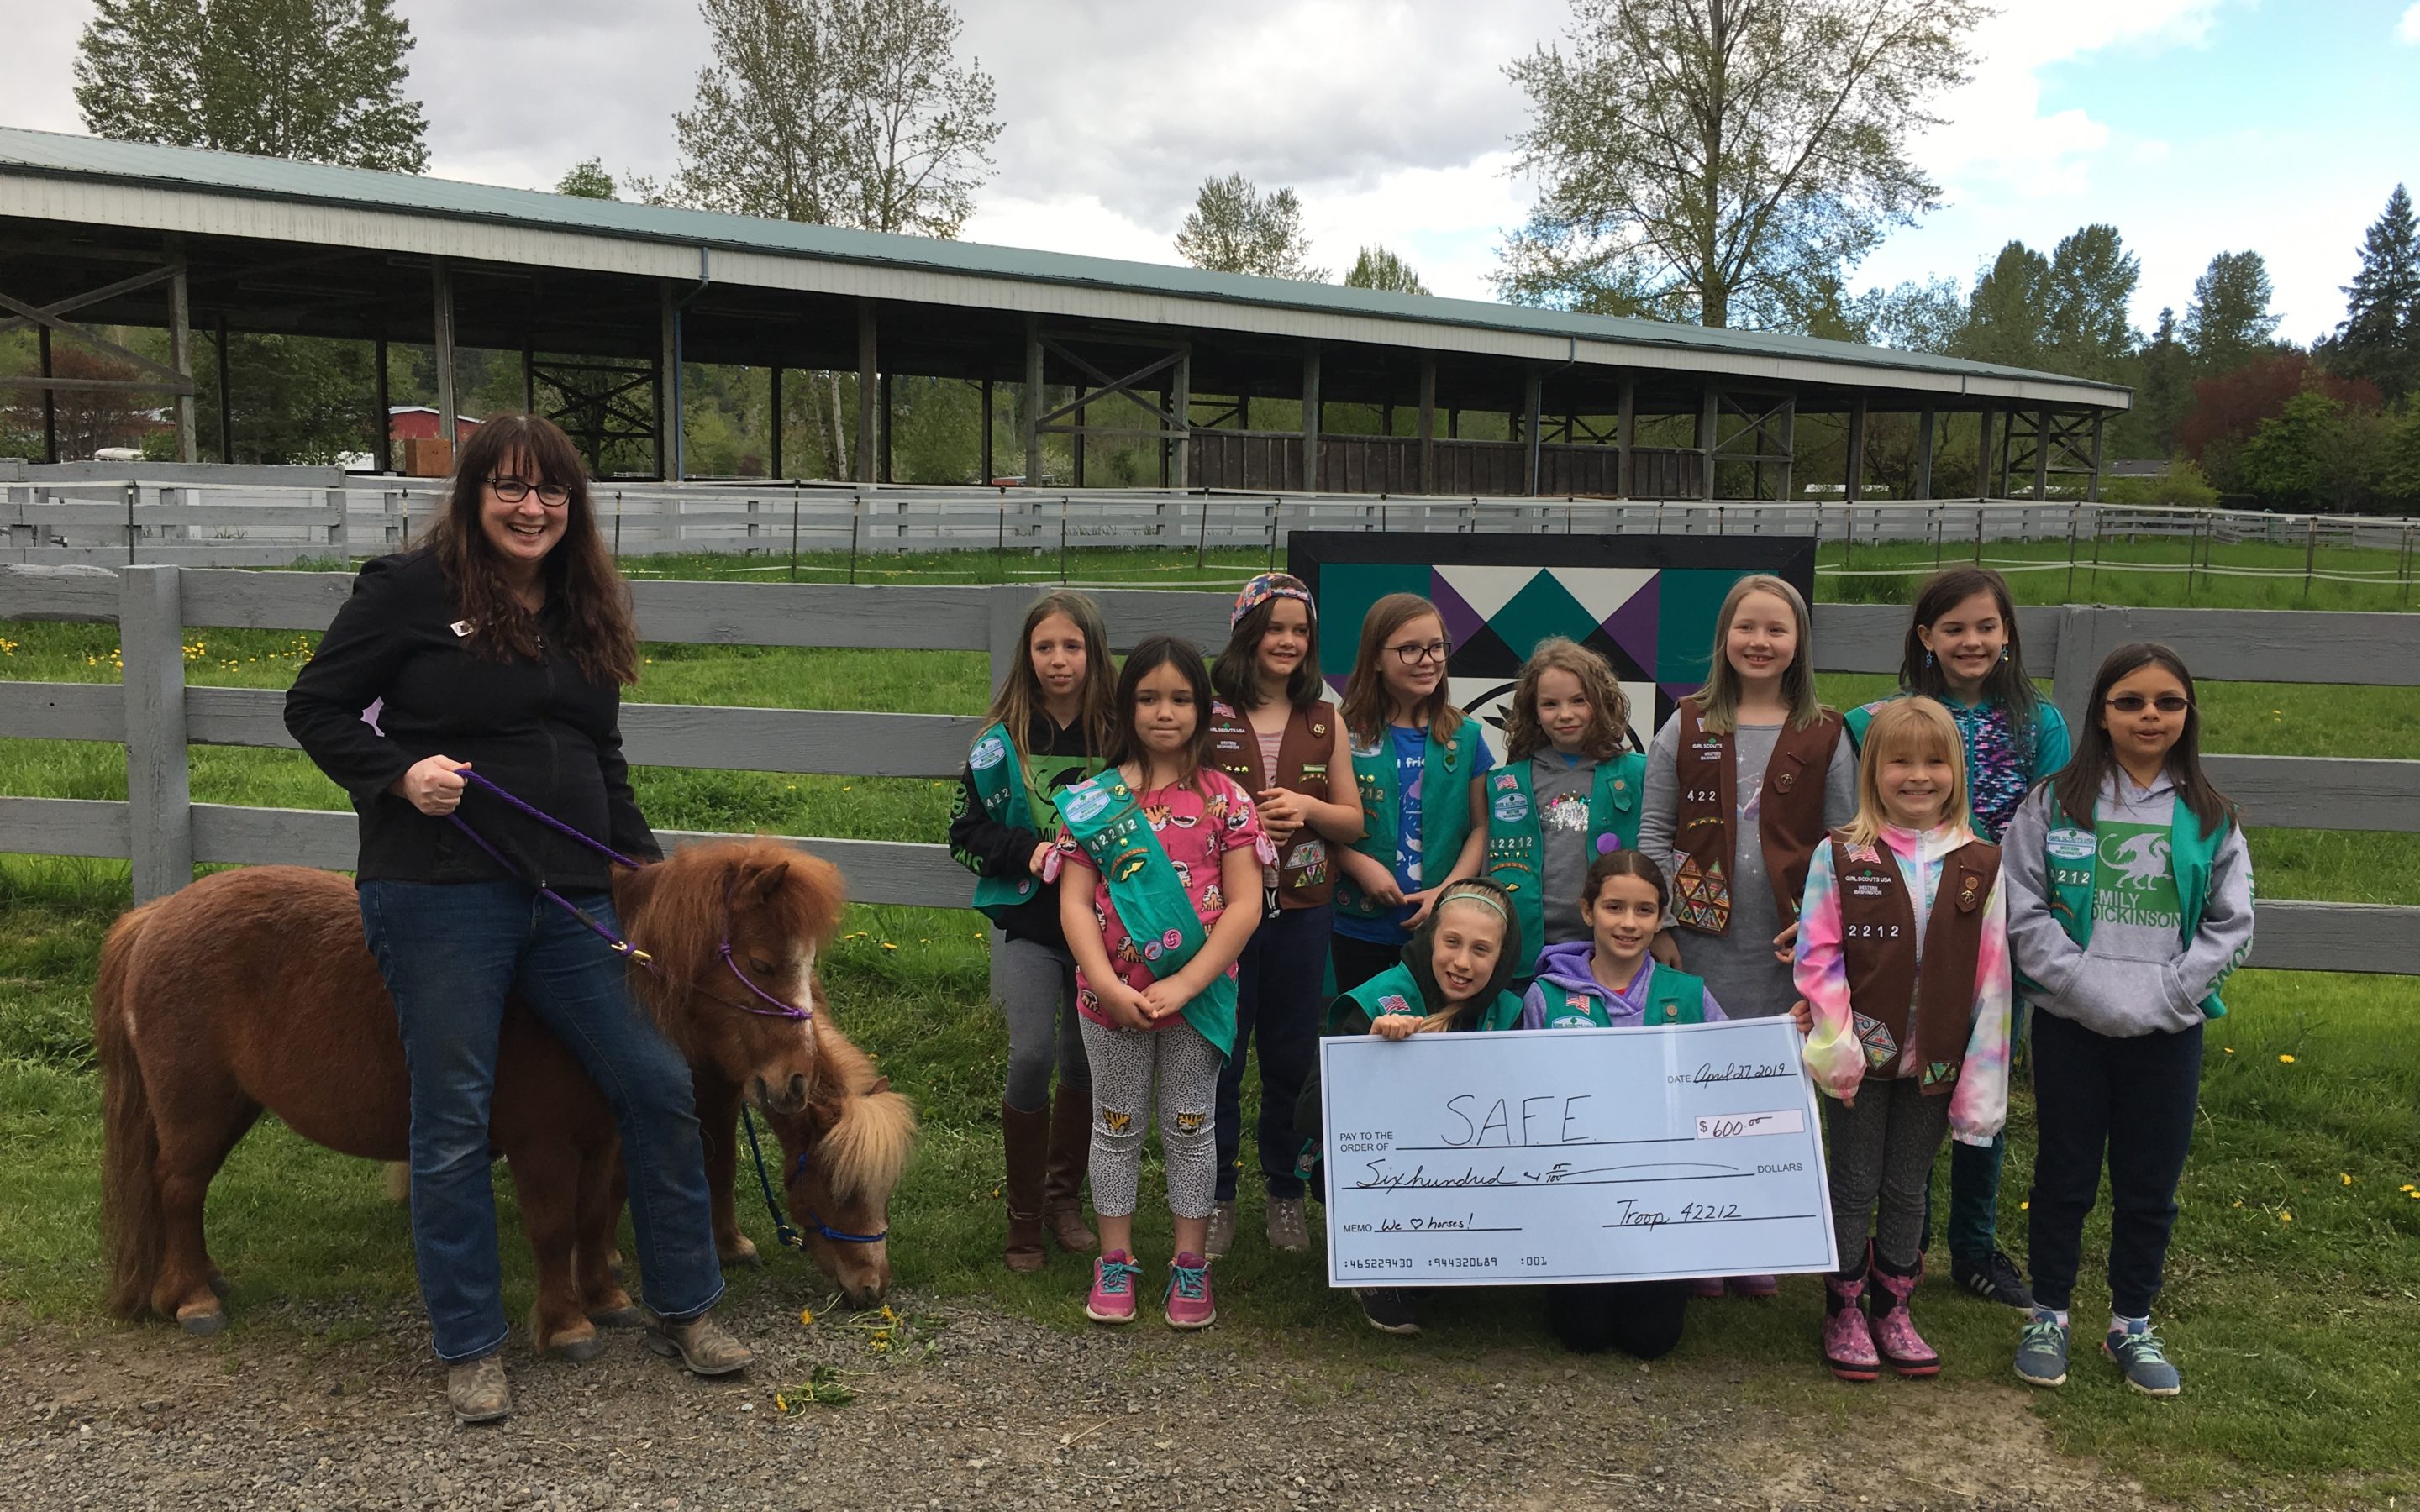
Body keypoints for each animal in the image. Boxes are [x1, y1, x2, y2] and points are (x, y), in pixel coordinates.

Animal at [97, 842, 842, 1354]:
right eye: (764, 964)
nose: (796, 1080)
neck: (576, 1001)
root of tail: (155, 916)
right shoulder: (542, 1145)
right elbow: (555, 1229)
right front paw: (566, 1324)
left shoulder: (602, 1139)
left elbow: (594, 1219)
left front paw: (606, 1298)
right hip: (197, 1110)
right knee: (177, 1188)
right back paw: (193, 1298)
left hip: (227, 1109)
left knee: (181, 1194)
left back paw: (198, 1280)